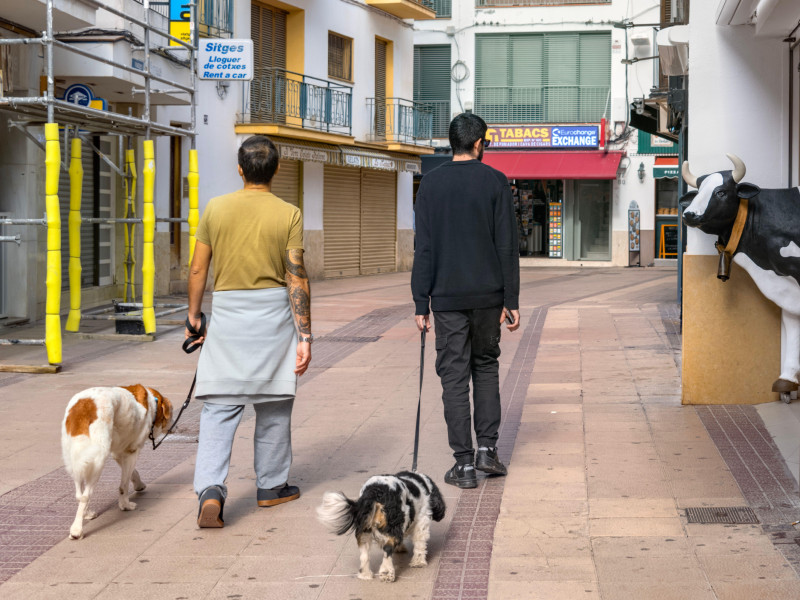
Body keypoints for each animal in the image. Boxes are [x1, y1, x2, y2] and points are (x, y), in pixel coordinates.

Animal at [61, 386, 172, 540]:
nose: (172, 426)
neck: (152, 404)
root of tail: (84, 405)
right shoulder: (132, 451)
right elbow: (123, 484)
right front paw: (125, 505)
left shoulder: (118, 451)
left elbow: (133, 473)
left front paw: (139, 485)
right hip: (97, 460)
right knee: (85, 496)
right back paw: (77, 530)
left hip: (75, 458)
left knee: (79, 493)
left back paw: (86, 514)